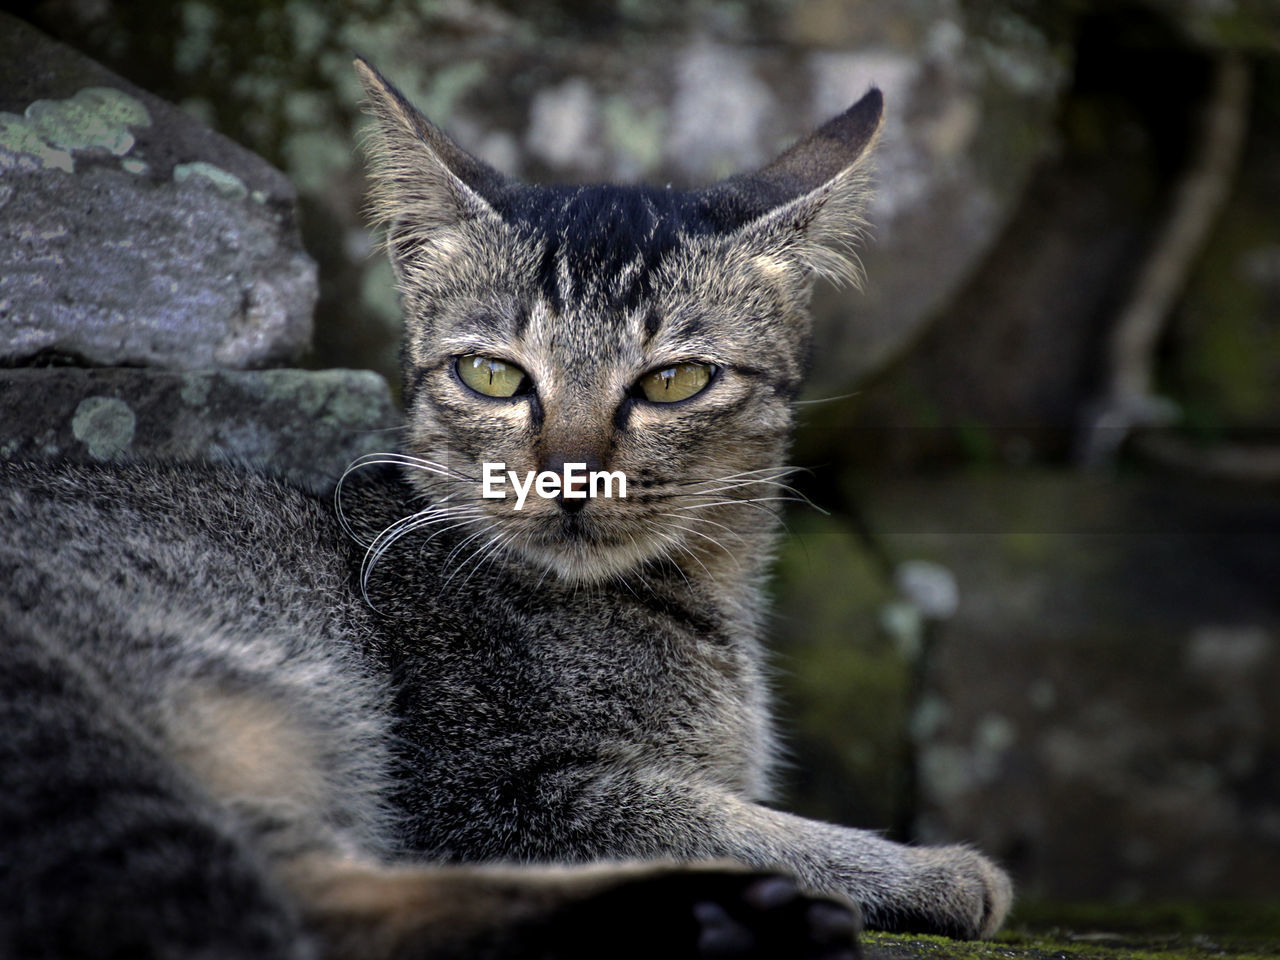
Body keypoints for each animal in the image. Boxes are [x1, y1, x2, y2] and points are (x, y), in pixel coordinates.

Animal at [0, 62, 1008, 960]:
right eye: (492, 374)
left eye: (674, 382)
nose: (568, 477)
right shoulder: (487, 791)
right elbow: (732, 820)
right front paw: (929, 870)